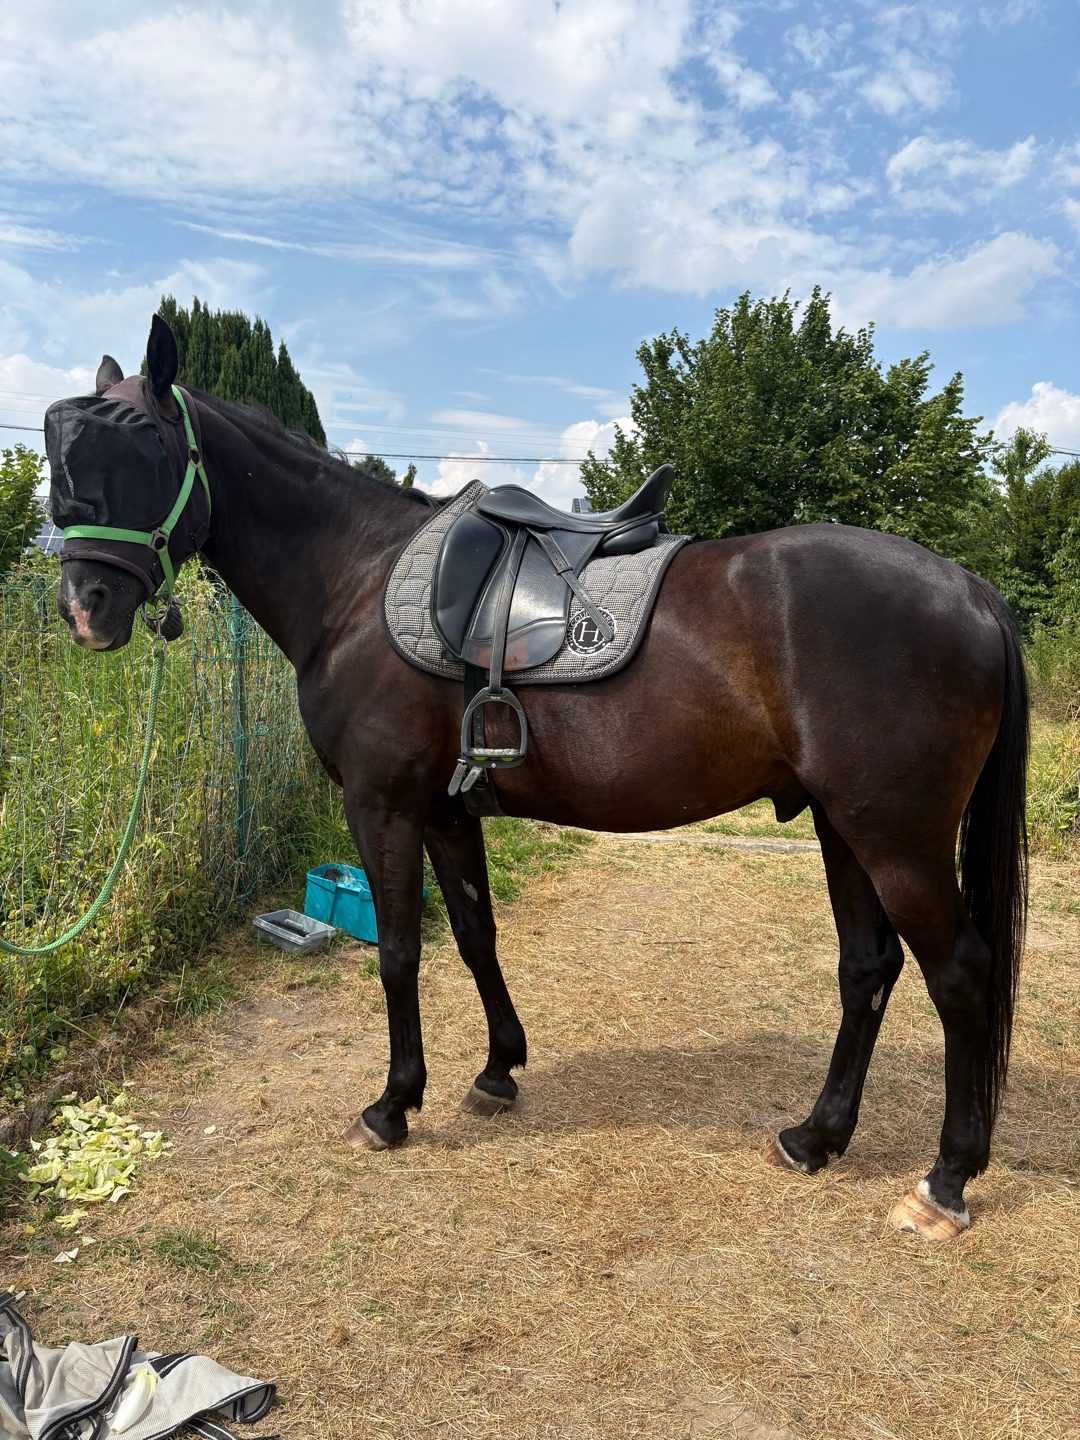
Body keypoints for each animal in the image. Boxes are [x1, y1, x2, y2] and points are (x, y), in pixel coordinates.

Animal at [49, 316, 1028, 1241]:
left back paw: (944, 1182)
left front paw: (392, 1106)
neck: (356, 580)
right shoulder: (448, 811)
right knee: (868, 969)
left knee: (961, 976)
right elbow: (475, 935)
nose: (85, 611)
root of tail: (972, 590)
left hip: (896, 837)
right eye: (62, 448)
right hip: (840, 825)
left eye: (146, 447)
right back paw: (815, 1137)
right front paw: (495, 1071)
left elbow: (400, 952)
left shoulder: (382, 806)